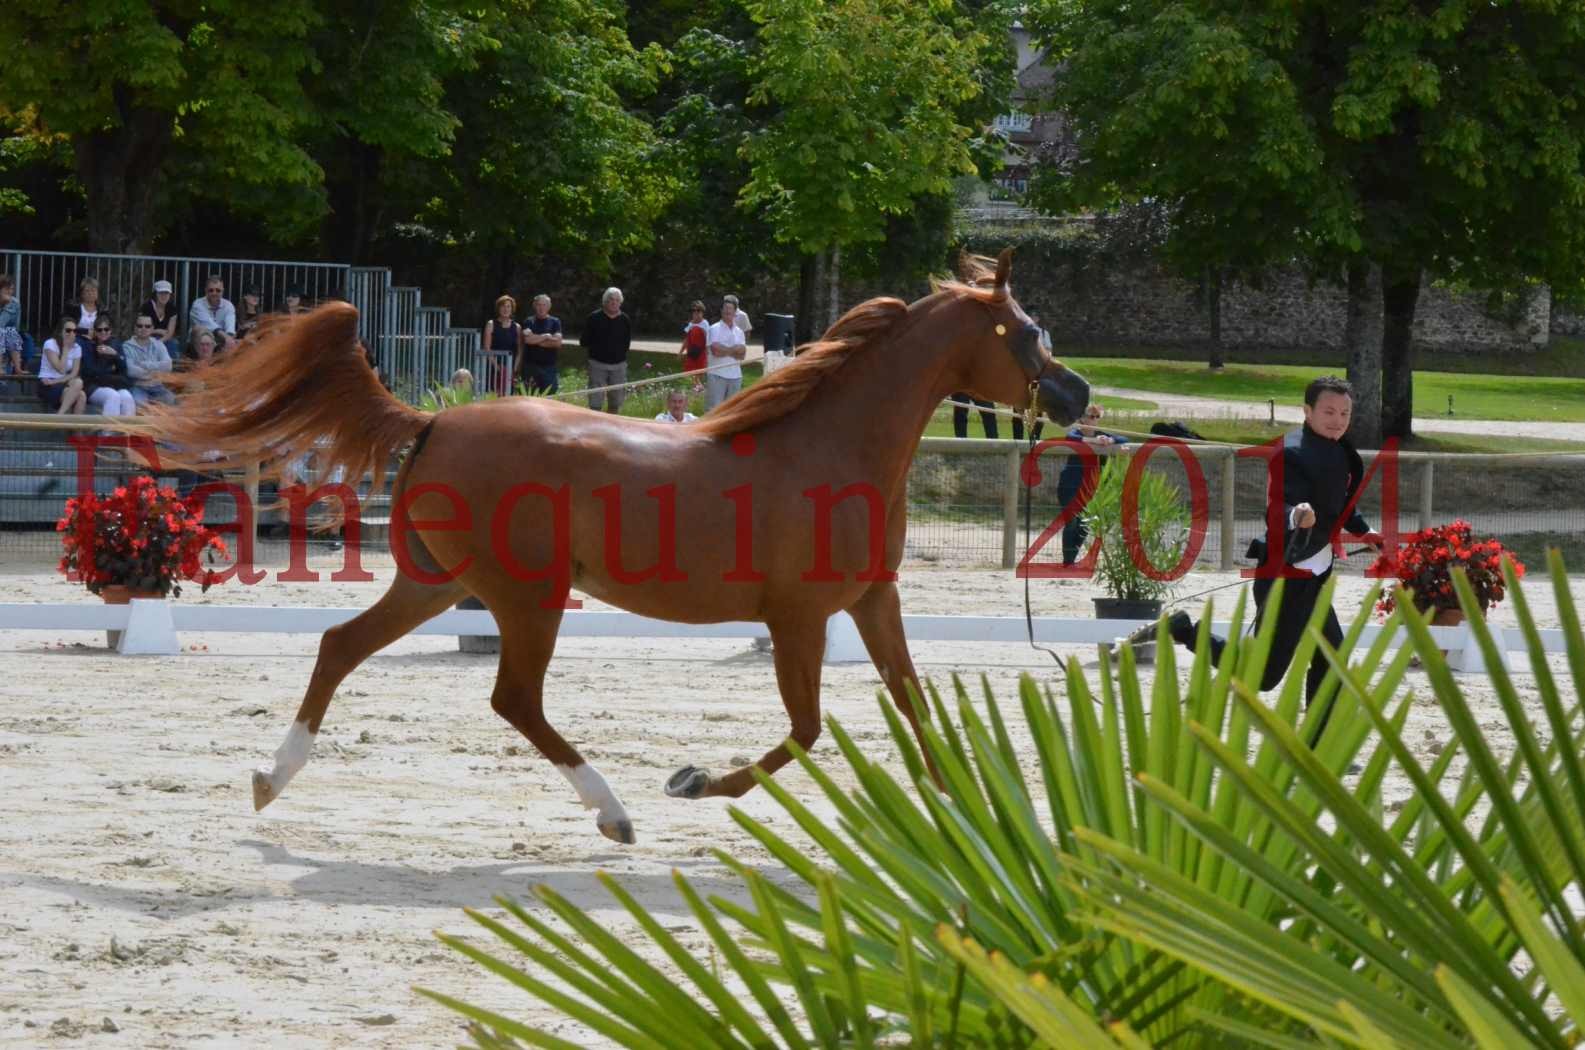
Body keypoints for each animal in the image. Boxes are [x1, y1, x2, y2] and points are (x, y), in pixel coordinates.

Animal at [151, 249, 1090, 850]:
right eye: (1024, 330)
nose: (1077, 394)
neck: (832, 449)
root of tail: (435, 421)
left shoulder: (871, 600)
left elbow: (913, 705)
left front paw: (977, 830)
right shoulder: (796, 616)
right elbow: (805, 731)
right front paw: (693, 781)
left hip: (438, 581)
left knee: (340, 645)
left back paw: (270, 780)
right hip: (524, 598)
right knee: (512, 699)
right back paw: (614, 813)